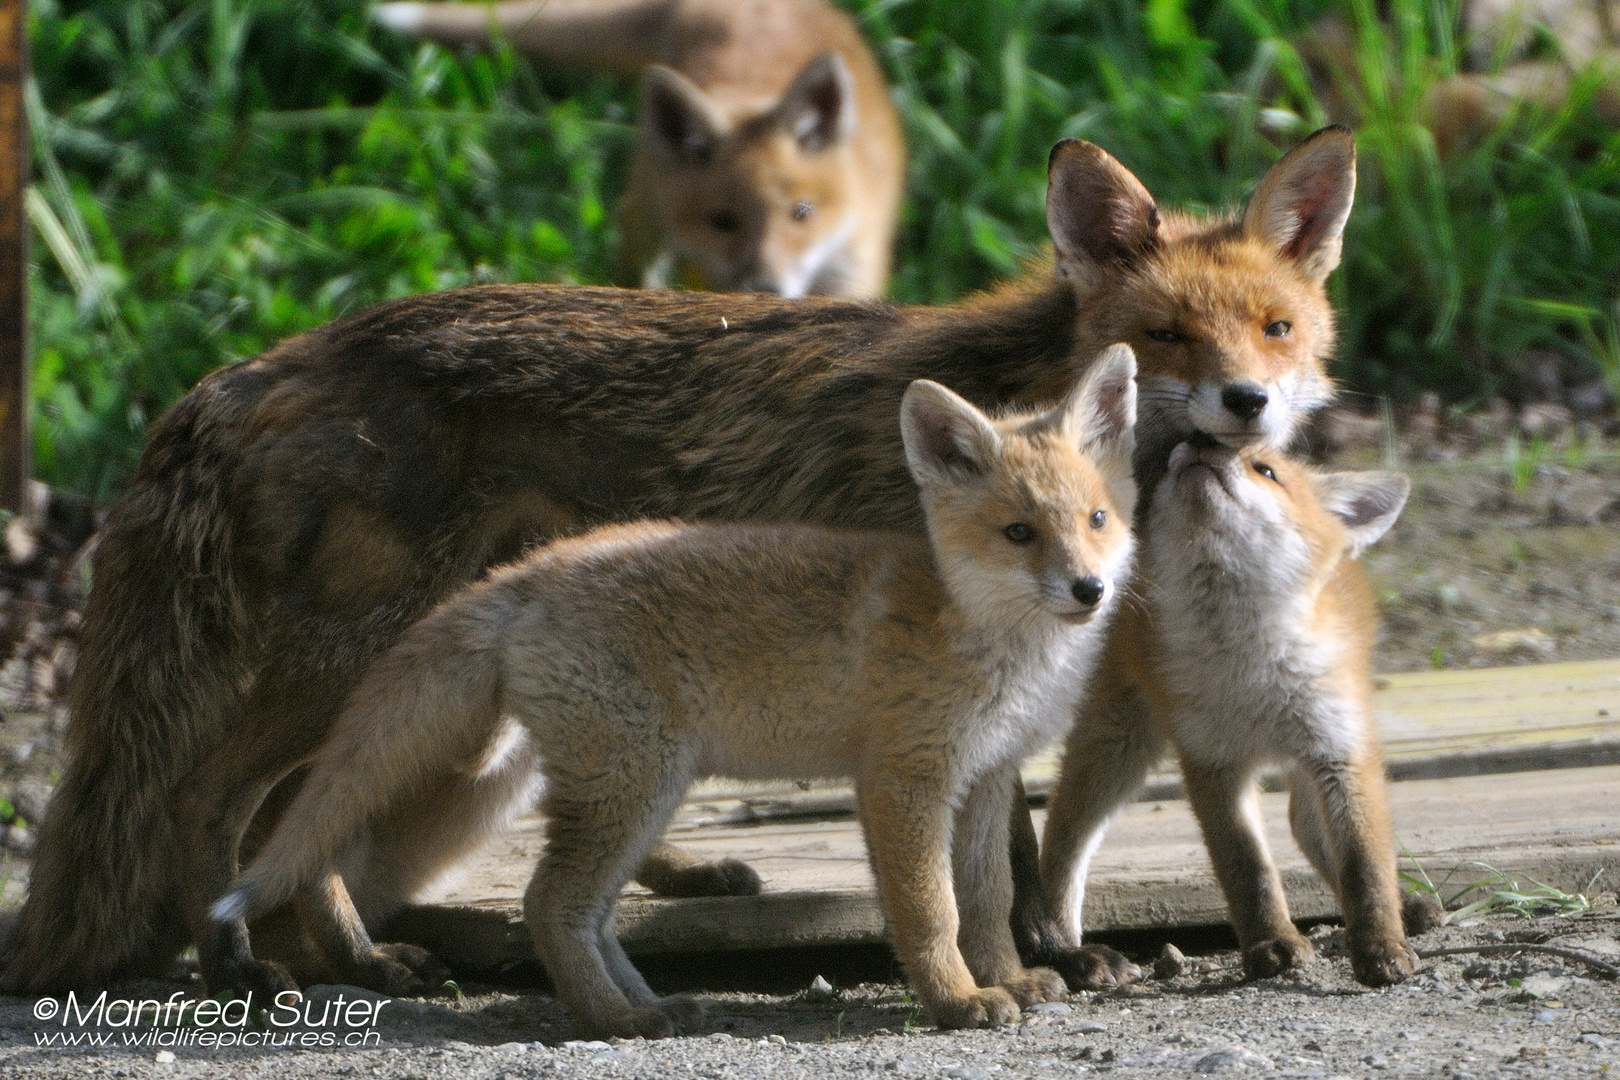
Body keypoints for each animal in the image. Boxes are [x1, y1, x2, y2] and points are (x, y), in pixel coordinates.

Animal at [3, 127, 1354, 997]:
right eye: (1167, 334)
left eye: (1275, 329)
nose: (1245, 402)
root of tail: (257, 364)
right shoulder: (942, 658)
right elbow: (1004, 838)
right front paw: (1032, 961)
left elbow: (1004, 832)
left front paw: (1046, 956)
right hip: (359, 658)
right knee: (214, 795)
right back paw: (253, 960)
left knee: (307, 812)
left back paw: (366, 953)